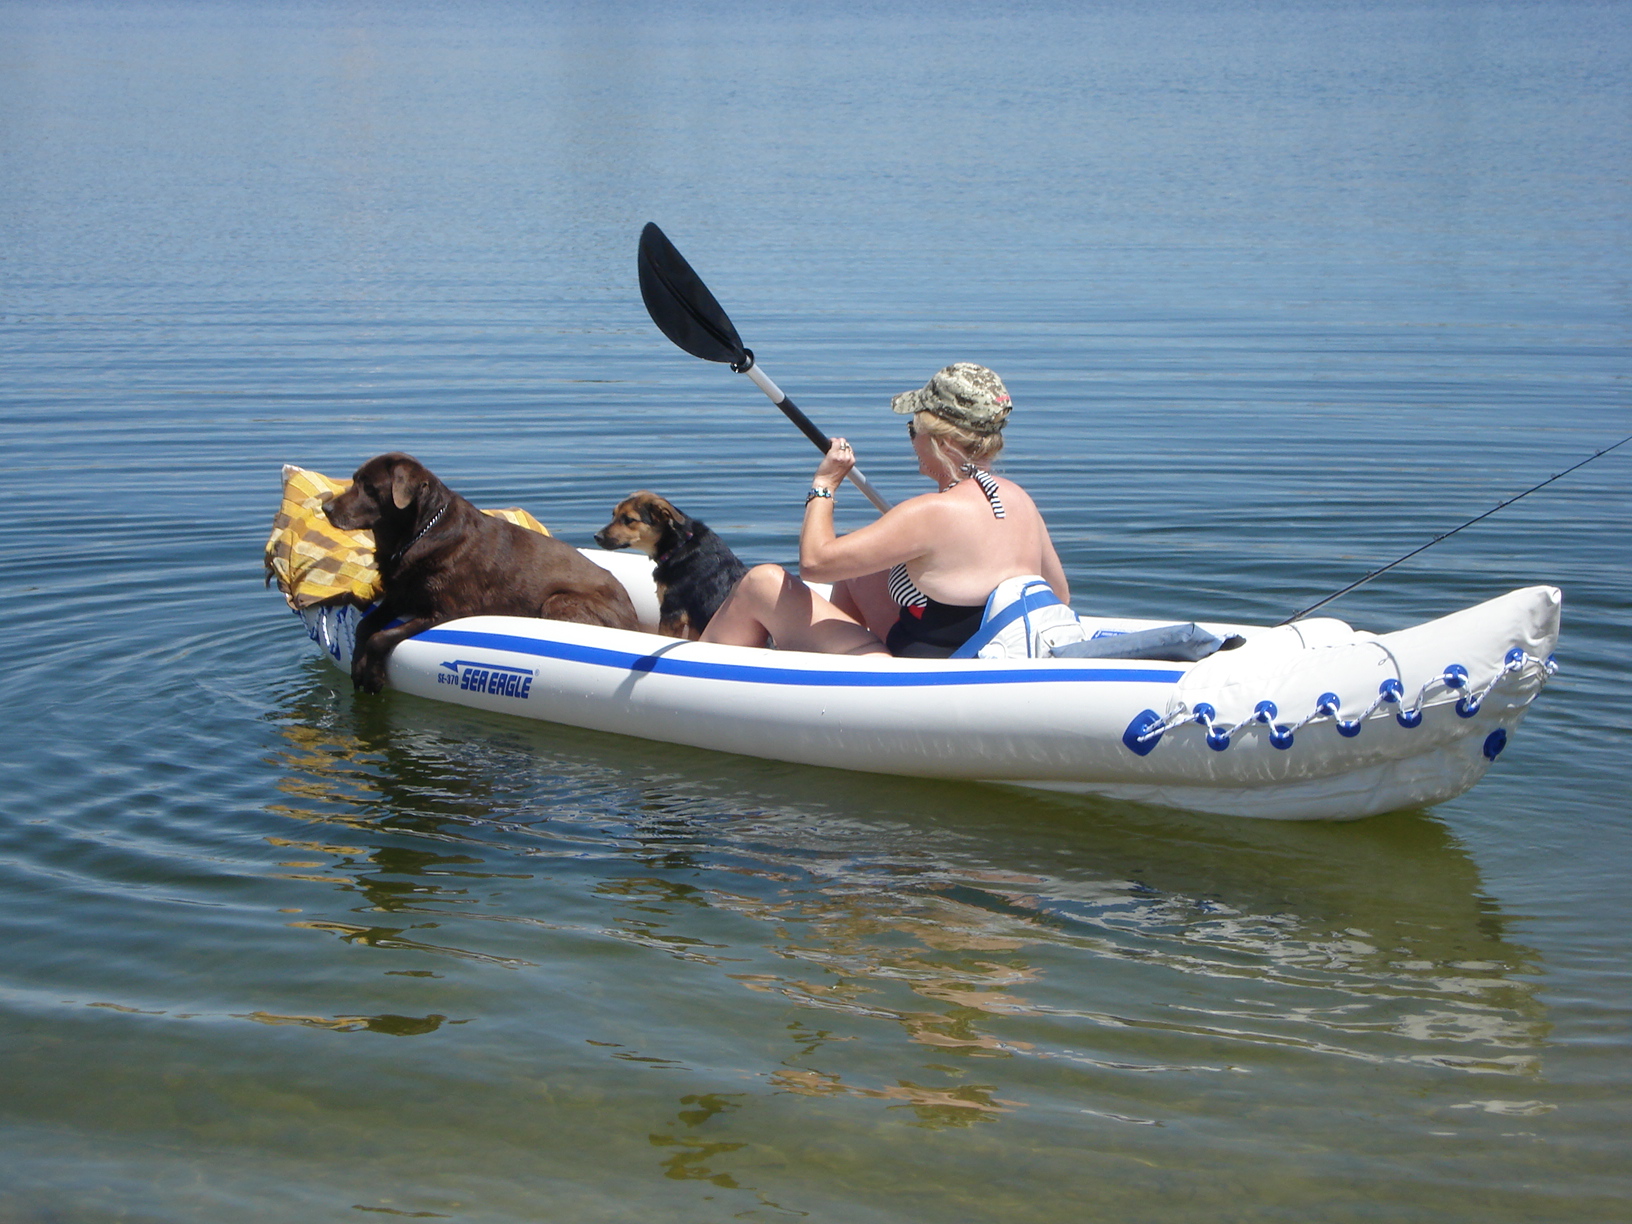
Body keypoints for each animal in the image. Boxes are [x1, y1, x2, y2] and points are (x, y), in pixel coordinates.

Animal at [324, 453, 636, 698]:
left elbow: (380, 637)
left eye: (369, 487)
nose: (325, 508)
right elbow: (365, 626)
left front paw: (372, 675)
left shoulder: (445, 610)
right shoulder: (399, 596)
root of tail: (632, 619)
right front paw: (358, 666)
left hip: (558, 601)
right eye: (355, 480)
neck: (420, 533)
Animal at [594, 489, 747, 643]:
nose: (597, 536)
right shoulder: (692, 623)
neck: (679, 546)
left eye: (629, 519)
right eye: (613, 514)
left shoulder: (672, 613)